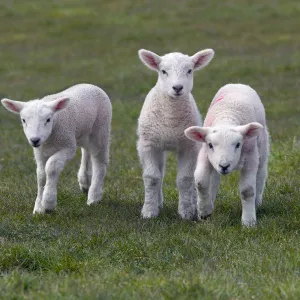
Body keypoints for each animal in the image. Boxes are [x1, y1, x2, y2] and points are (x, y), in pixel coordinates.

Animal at [1, 82, 111, 213]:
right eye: (23, 120)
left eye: (48, 119)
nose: (35, 140)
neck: (49, 140)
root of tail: (90, 85)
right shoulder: (40, 152)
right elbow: (41, 175)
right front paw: (38, 208)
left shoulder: (67, 147)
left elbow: (51, 168)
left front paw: (48, 203)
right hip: (83, 133)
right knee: (86, 151)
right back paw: (85, 182)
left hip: (101, 129)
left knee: (99, 161)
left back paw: (94, 197)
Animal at [137, 48, 214, 219]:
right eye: (163, 71)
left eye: (189, 70)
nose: (177, 87)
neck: (170, 121)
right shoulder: (147, 145)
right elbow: (152, 177)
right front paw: (149, 211)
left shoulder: (189, 146)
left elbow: (185, 179)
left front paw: (186, 212)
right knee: (159, 173)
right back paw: (158, 202)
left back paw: (193, 203)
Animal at [184, 83, 270, 226]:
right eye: (210, 145)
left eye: (238, 144)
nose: (224, 166)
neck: (227, 117)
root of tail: (238, 84)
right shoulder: (205, 154)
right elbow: (201, 182)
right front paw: (204, 211)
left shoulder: (251, 157)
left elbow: (247, 191)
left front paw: (248, 221)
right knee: (214, 180)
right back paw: (211, 201)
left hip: (262, 147)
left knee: (261, 173)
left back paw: (257, 203)